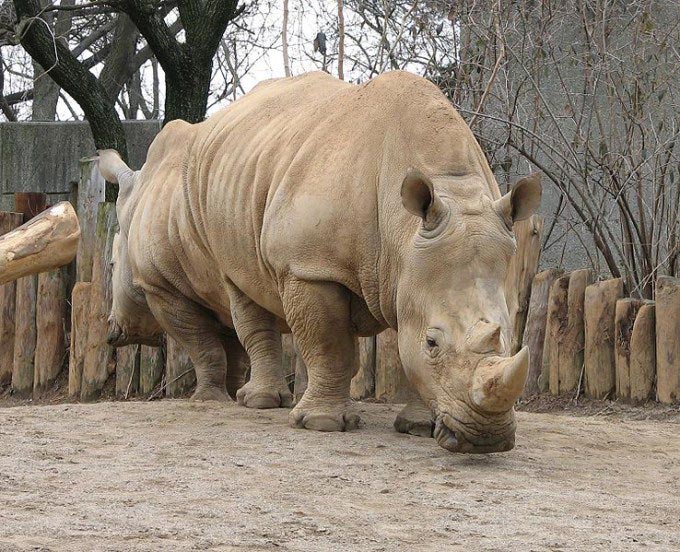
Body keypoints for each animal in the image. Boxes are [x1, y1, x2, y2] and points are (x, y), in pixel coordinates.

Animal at [100, 71, 541, 453]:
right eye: (433, 342)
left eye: (509, 337)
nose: (486, 440)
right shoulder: (309, 266)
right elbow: (329, 343)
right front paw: (322, 424)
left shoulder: (408, 272)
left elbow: (403, 347)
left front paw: (416, 427)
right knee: (240, 291)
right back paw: (251, 403)